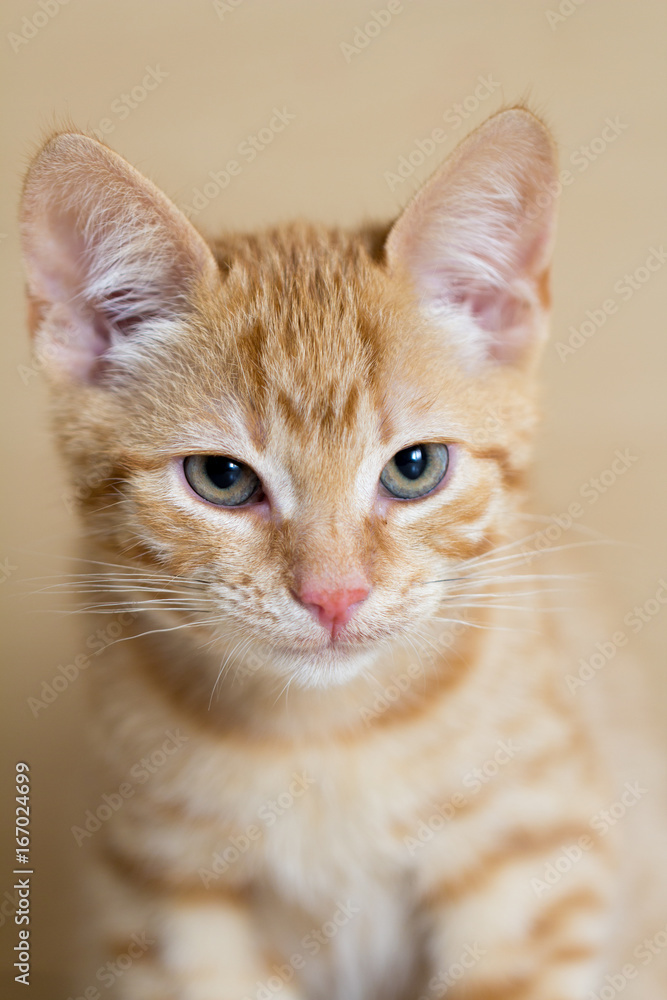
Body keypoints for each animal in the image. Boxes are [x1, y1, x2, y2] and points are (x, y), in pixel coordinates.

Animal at [18, 109, 664, 1000]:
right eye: (221, 479)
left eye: (414, 467)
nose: (334, 595)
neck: (321, 739)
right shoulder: (164, 901)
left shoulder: (534, 858)